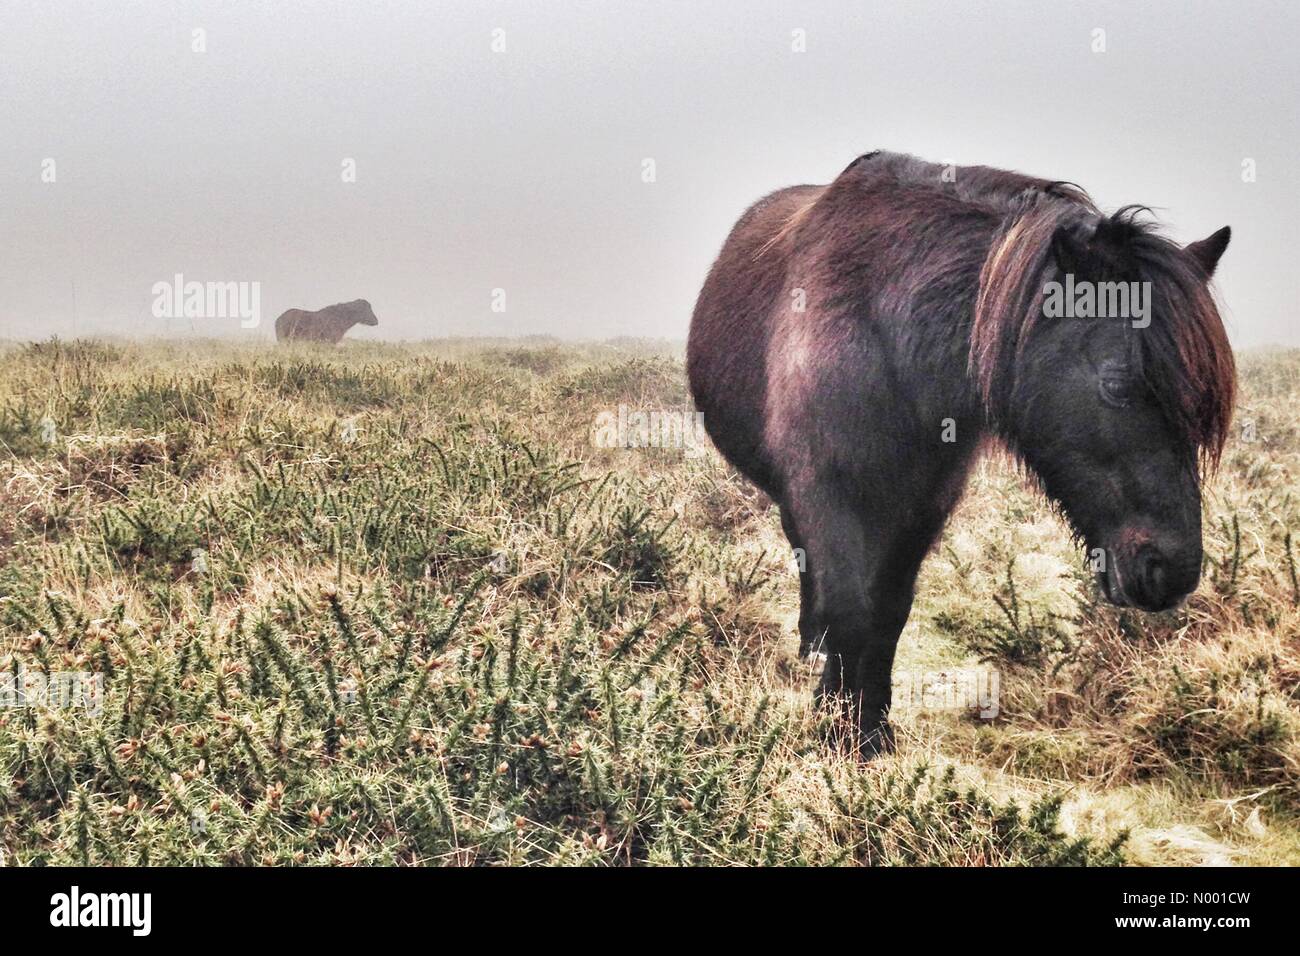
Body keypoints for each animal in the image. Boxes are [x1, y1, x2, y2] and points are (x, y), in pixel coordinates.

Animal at [686, 151, 1232, 754]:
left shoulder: (923, 506)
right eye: (1117, 385)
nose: (1172, 571)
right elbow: (849, 610)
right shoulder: (827, 495)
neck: (887, 330)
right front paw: (836, 729)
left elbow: (889, 611)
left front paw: (872, 730)